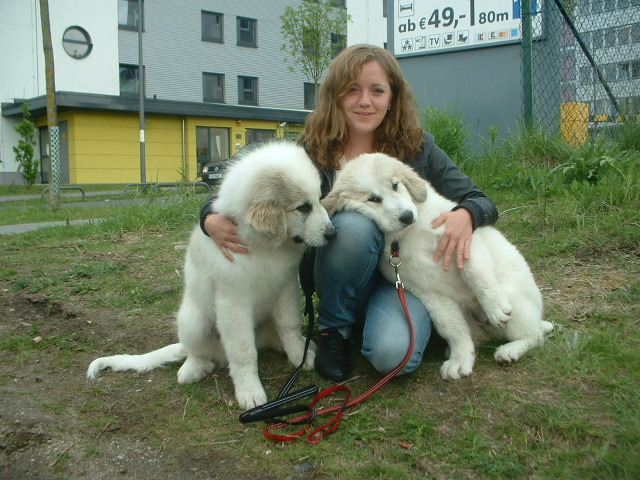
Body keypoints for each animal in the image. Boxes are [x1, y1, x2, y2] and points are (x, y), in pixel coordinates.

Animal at [88, 141, 338, 406]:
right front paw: (250, 392)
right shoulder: (233, 301)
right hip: (193, 322)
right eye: (303, 207)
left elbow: (289, 325)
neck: (264, 247)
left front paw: (299, 356)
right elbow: (242, 350)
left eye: (320, 199)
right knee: (199, 352)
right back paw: (193, 369)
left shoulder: (285, 287)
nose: (332, 234)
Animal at [322, 153, 552, 378]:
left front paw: (495, 308)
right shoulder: (424, 290)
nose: (407, 216)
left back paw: (510, 350)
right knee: (479, 335)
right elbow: (451, 326)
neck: (406, 234)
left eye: (395, 185)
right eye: (373, 199)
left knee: (535, 336)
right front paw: (460, 359)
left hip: (516, 300)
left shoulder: (462, 238)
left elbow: (476, 275)